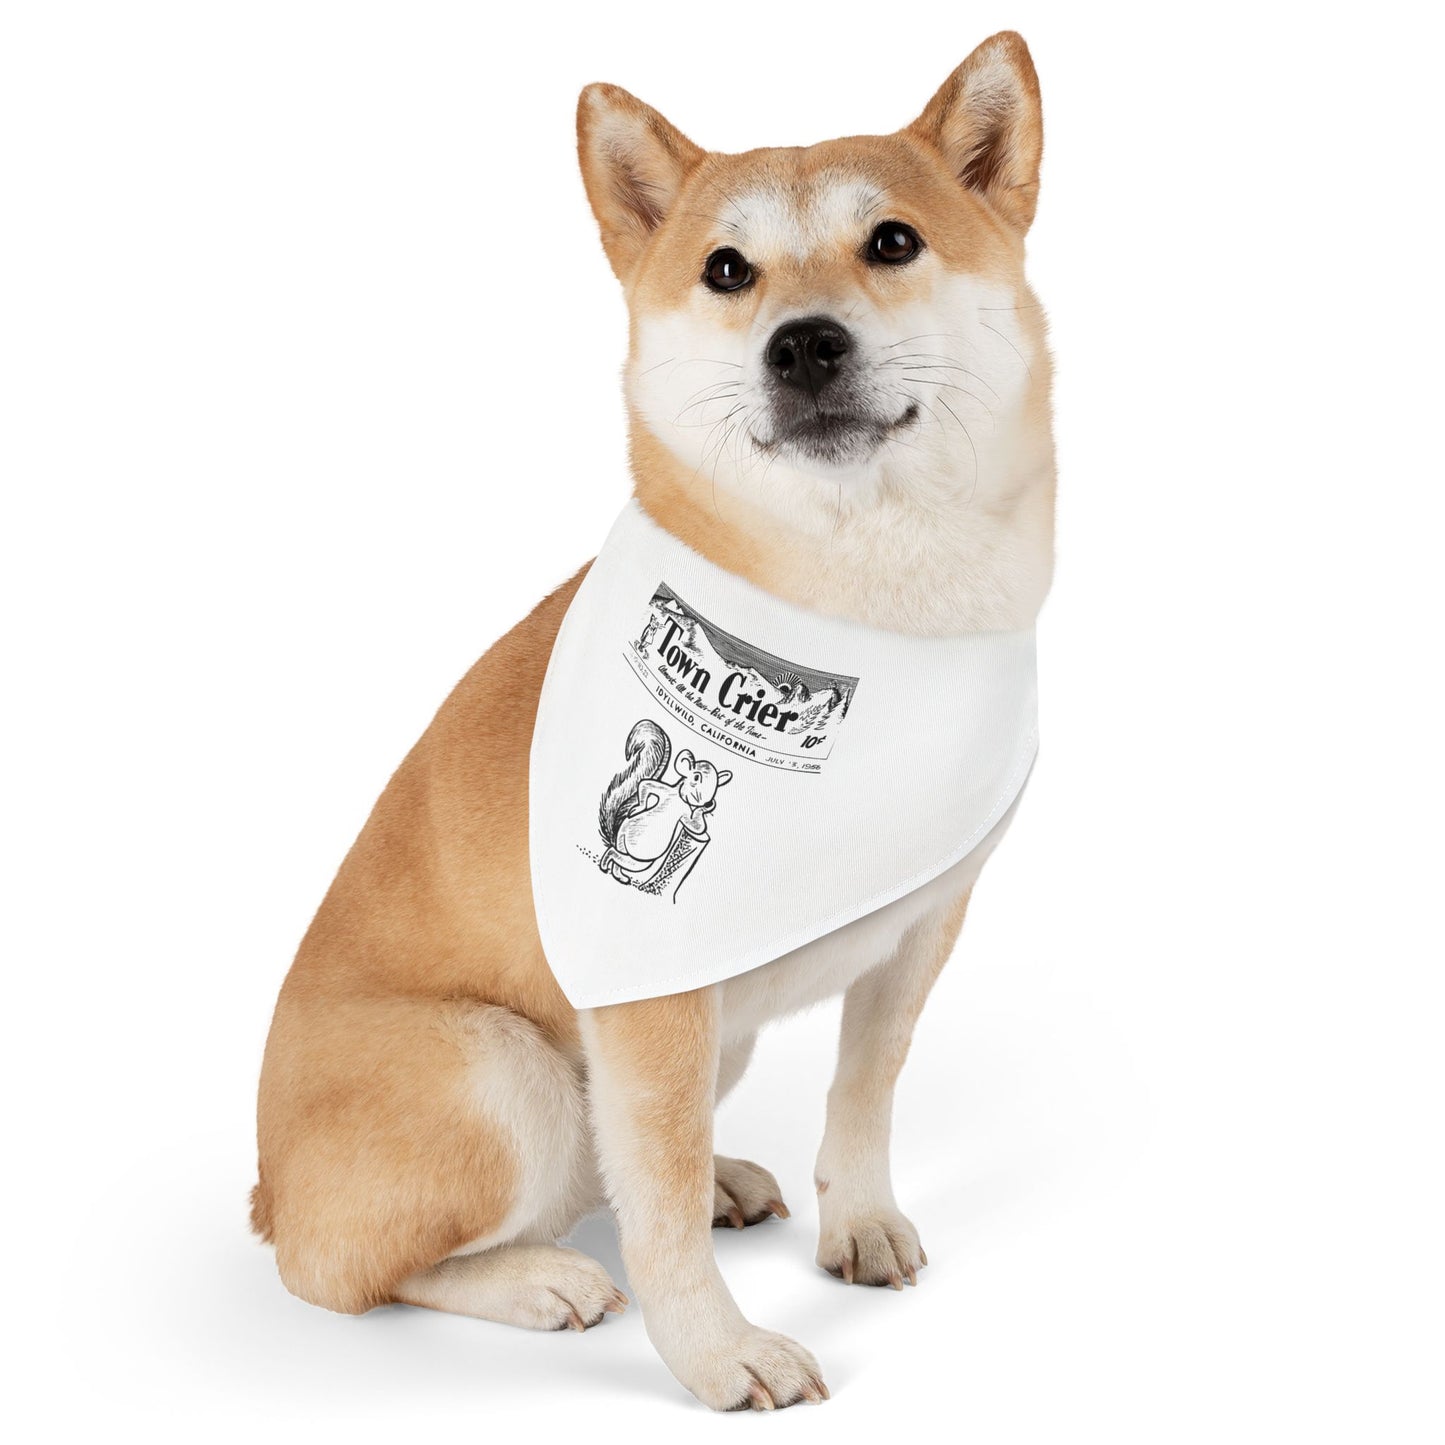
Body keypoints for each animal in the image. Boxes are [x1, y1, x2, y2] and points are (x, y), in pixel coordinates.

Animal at [597, 720, 732, 883]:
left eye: (715, 785)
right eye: (696, 777)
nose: (706, 802)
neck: (679, 797)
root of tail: (617, 836)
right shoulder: (671, 796)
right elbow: (646, 784)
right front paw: (638, 808)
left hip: (630, 851)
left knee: (620, 859)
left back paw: (619, 876)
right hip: (637, 856)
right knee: (616, 854)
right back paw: (606, 863)